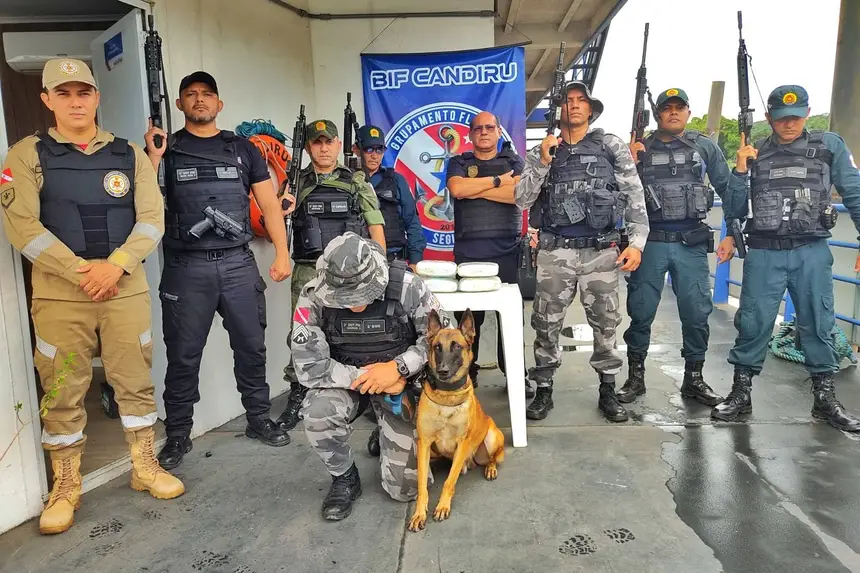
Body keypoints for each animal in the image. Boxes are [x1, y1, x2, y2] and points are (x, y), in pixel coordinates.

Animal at [407, 308, 505, 532]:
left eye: (457, 347)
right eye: (437, 347)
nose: (442, 370)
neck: (447, 396)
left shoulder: (462, 444)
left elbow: (449, 482)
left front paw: (443, 506)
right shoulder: (424, 443)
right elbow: (422, 485)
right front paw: (419, 513)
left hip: (492, 439)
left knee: (494, 458)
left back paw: (490, 468)